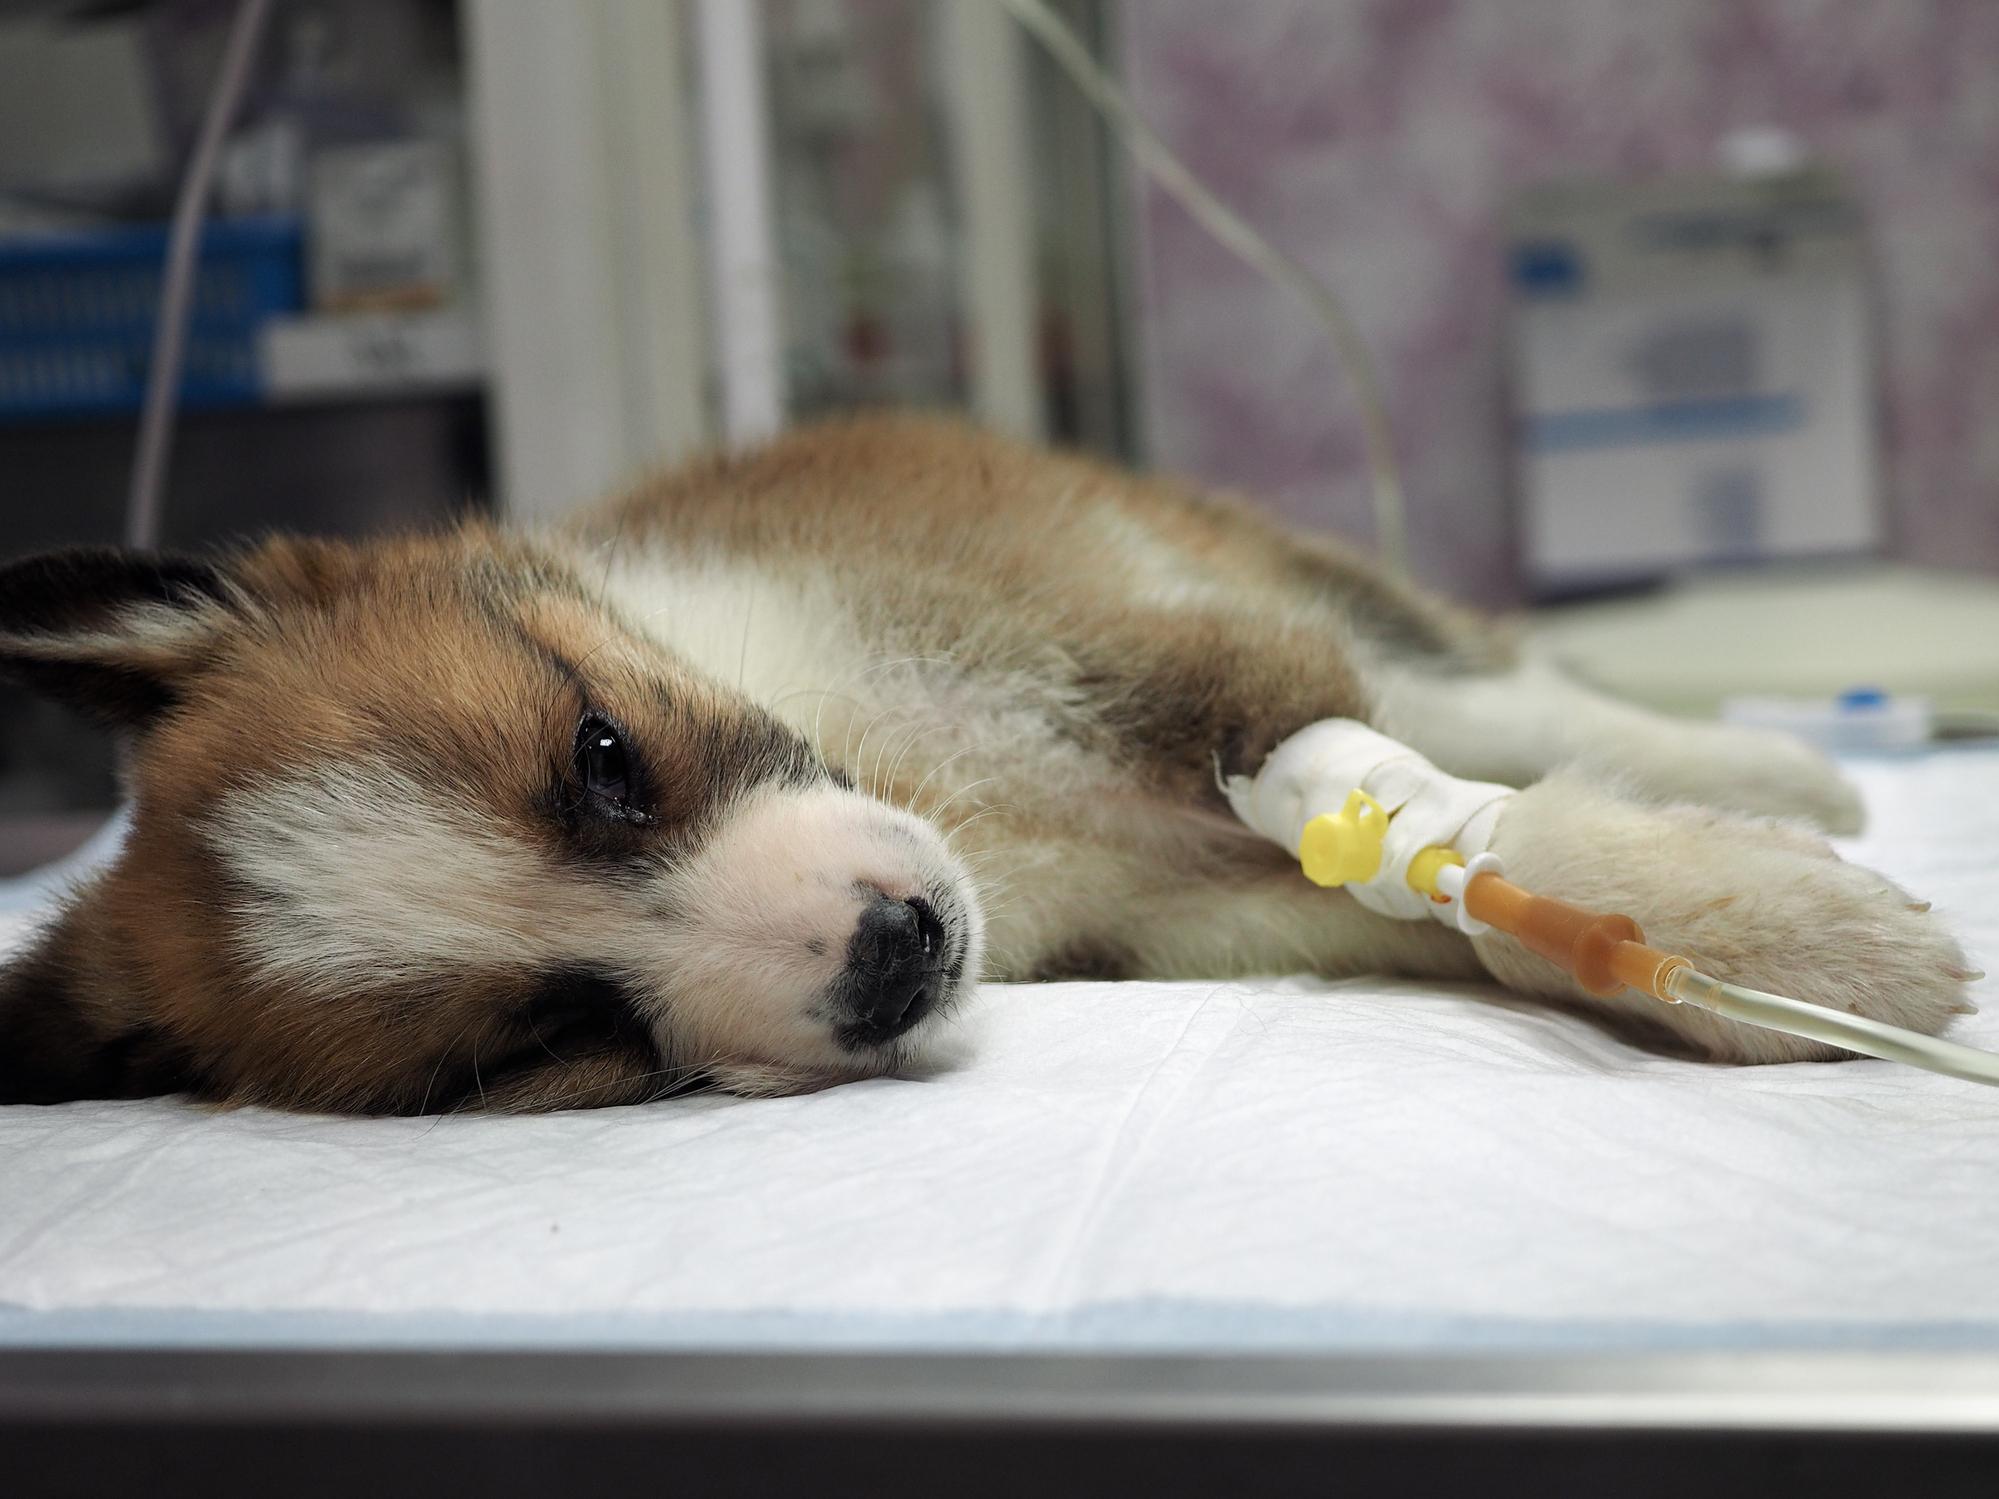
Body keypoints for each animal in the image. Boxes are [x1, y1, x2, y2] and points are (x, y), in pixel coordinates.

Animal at [0, 417, 1975, 1111]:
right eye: (547, 1040)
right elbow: (1460, 900)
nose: (893, 952)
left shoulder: (1165, 653)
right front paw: (1749, 943)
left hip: (1280, 578)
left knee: (1512, 687)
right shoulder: (1204, 922)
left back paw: (1778, 771)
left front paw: (1795, 936)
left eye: (601, 754)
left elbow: (1432, 803)